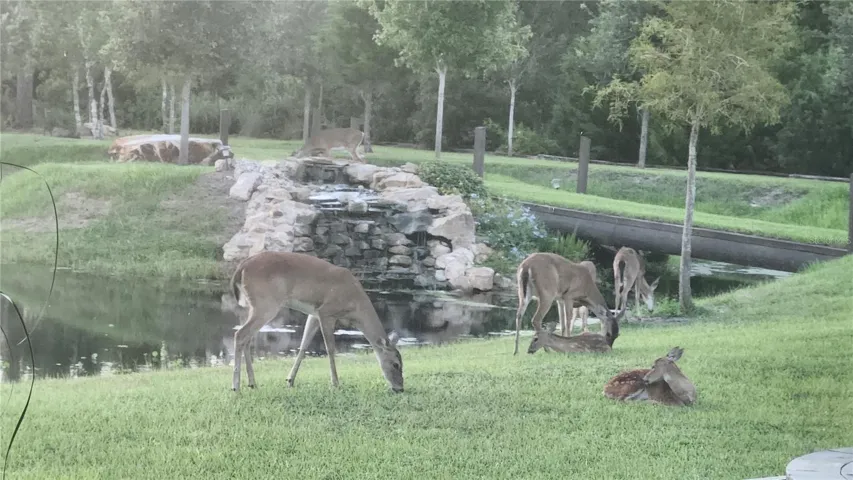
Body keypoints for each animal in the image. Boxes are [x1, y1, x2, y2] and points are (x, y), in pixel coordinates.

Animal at [229, 251, 404, 393]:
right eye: (396, 364)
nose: (400, 388)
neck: (355, 306)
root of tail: (241, 267)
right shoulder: (326, 312)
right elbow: (330, 349)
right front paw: (335, 383)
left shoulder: (313, 314)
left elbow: (304, 345)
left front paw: (290, 380)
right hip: (266, 304)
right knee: (240, 334)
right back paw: (236, 386)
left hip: (252, 306)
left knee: (247, 337)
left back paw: (252, 383)